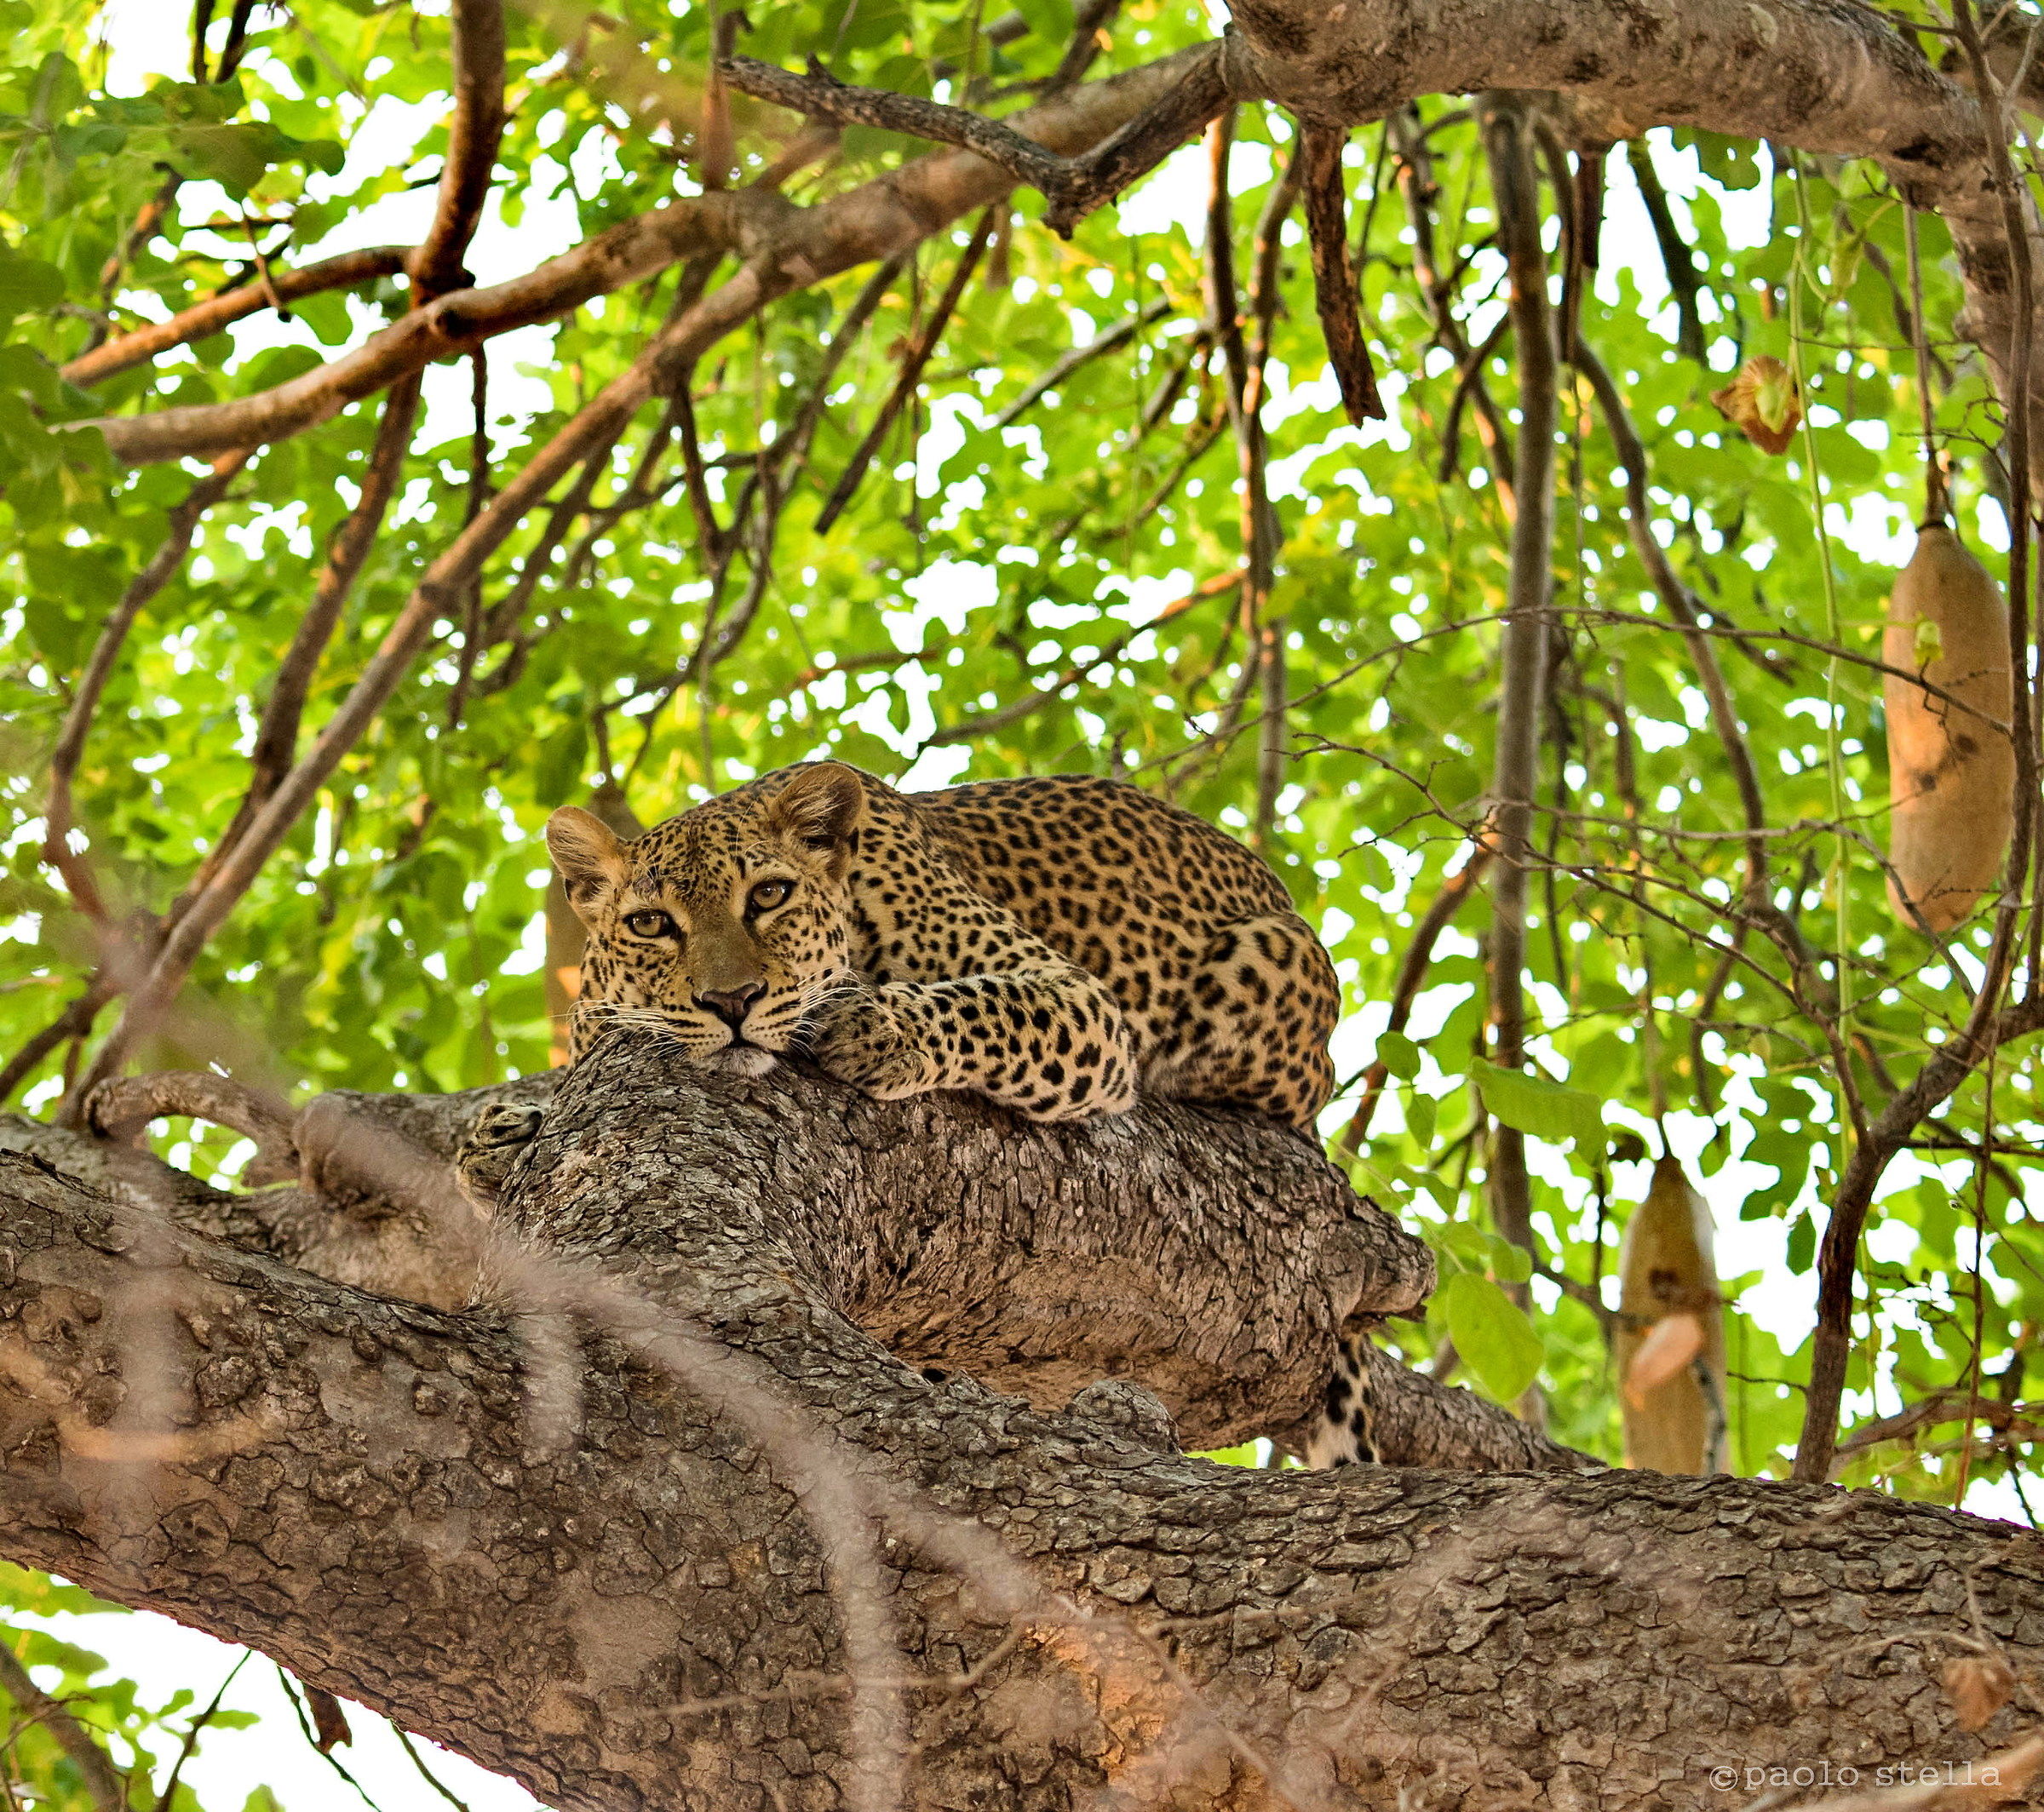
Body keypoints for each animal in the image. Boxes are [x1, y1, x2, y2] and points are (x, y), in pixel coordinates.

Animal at [542, 759, 1377, 1467]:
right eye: (652, 924)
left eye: (770, 896)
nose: (731, 1001)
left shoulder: (1078, 999)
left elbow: (986, 1004)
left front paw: (873, 1023)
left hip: (1266, 964)